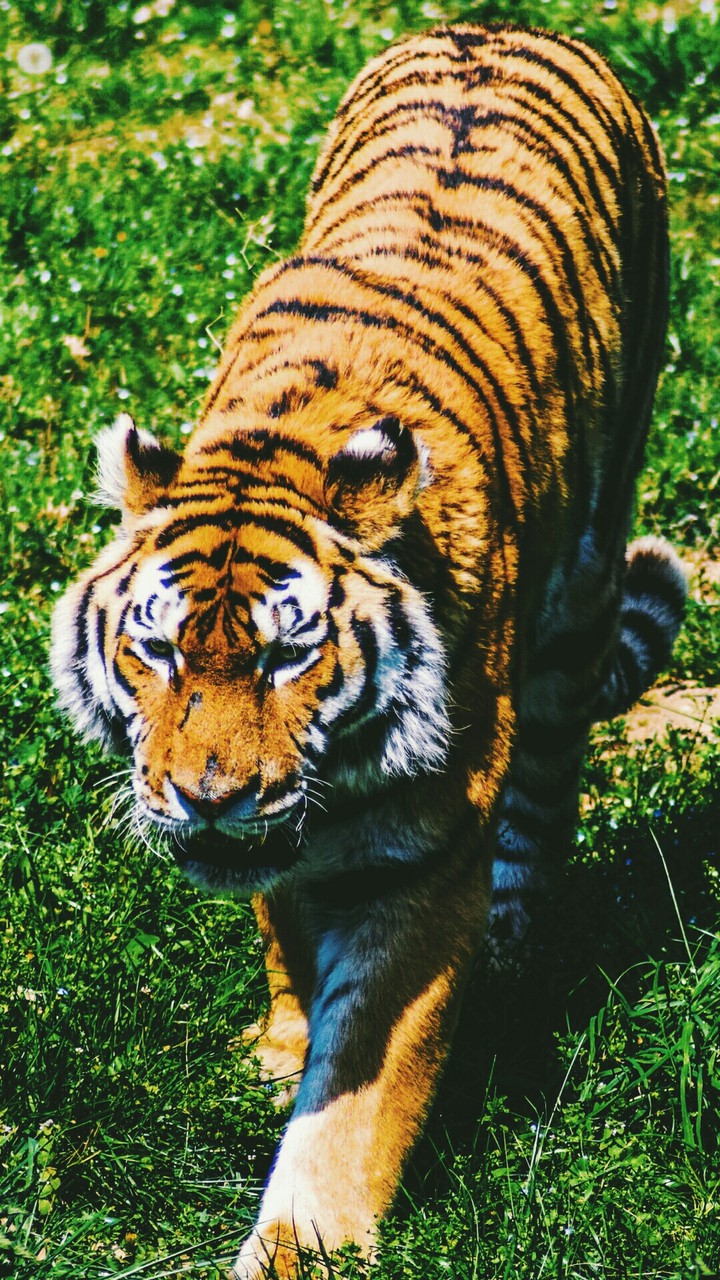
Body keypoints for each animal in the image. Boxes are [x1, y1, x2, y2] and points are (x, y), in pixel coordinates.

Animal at [51, 23, 687, 1279]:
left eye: (288, 658)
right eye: (158, 652)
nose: (206, 798)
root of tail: (503, 24)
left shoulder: (422, 853)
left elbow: (349, 1099)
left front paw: (304, 1239)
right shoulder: (284, 846)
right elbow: (283, 921)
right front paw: (282, 1033)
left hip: (586, 578)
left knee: (546, 781)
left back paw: (513, 937)